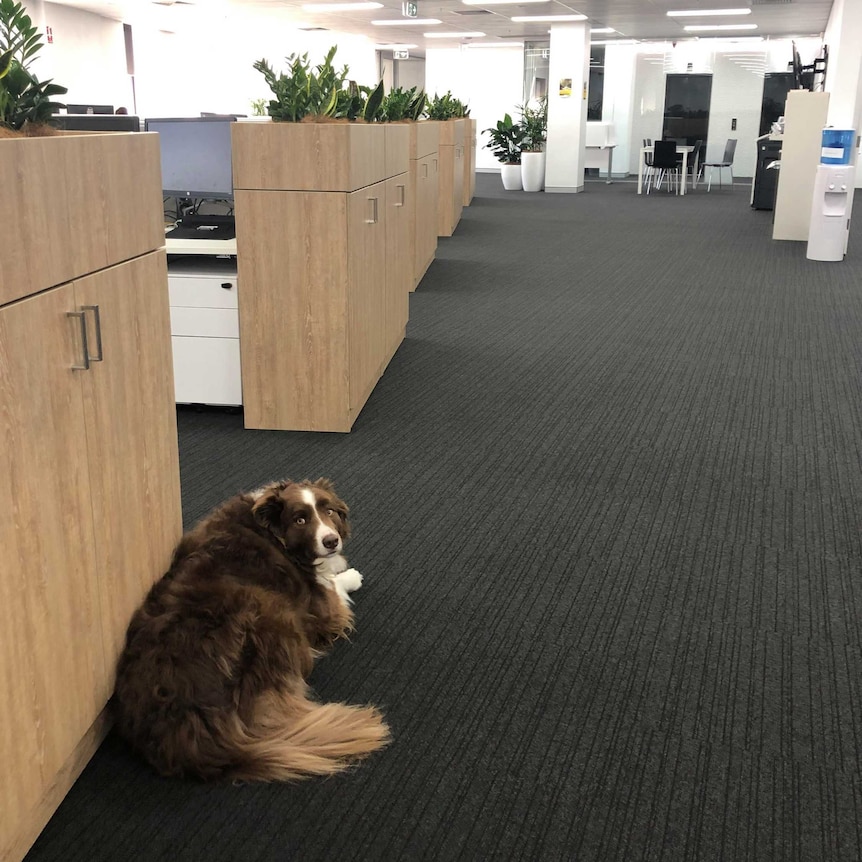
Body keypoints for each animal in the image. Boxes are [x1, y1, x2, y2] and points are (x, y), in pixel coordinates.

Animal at [113, 480, 390, 784]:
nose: (331, 541)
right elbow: (334, 591)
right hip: (271, 612)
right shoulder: (322, 609)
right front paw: (349, 576)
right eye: (300, 519)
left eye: (328, 511)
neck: (271, 530)